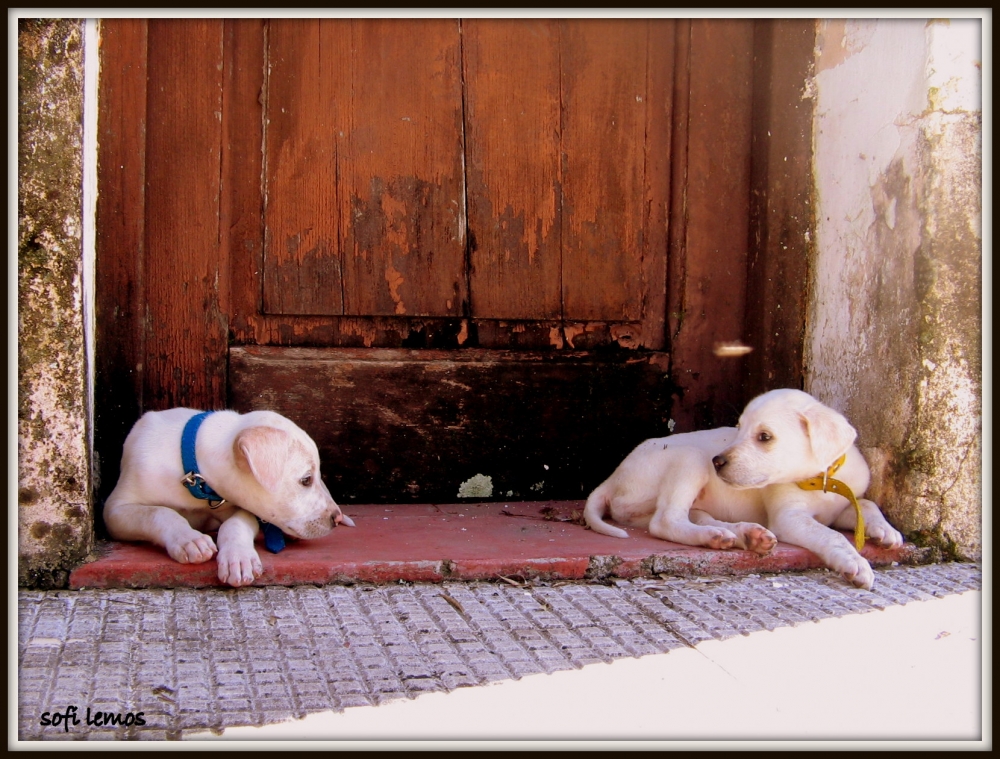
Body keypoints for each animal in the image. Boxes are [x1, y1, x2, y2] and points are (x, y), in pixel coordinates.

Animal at [103, 410, 354, 588]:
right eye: (306, 480)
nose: (336, 517)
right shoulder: (115, 510)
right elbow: (159, 512)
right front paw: (189, 539)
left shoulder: (239, 508)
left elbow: (235, 525)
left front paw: (239, 558)